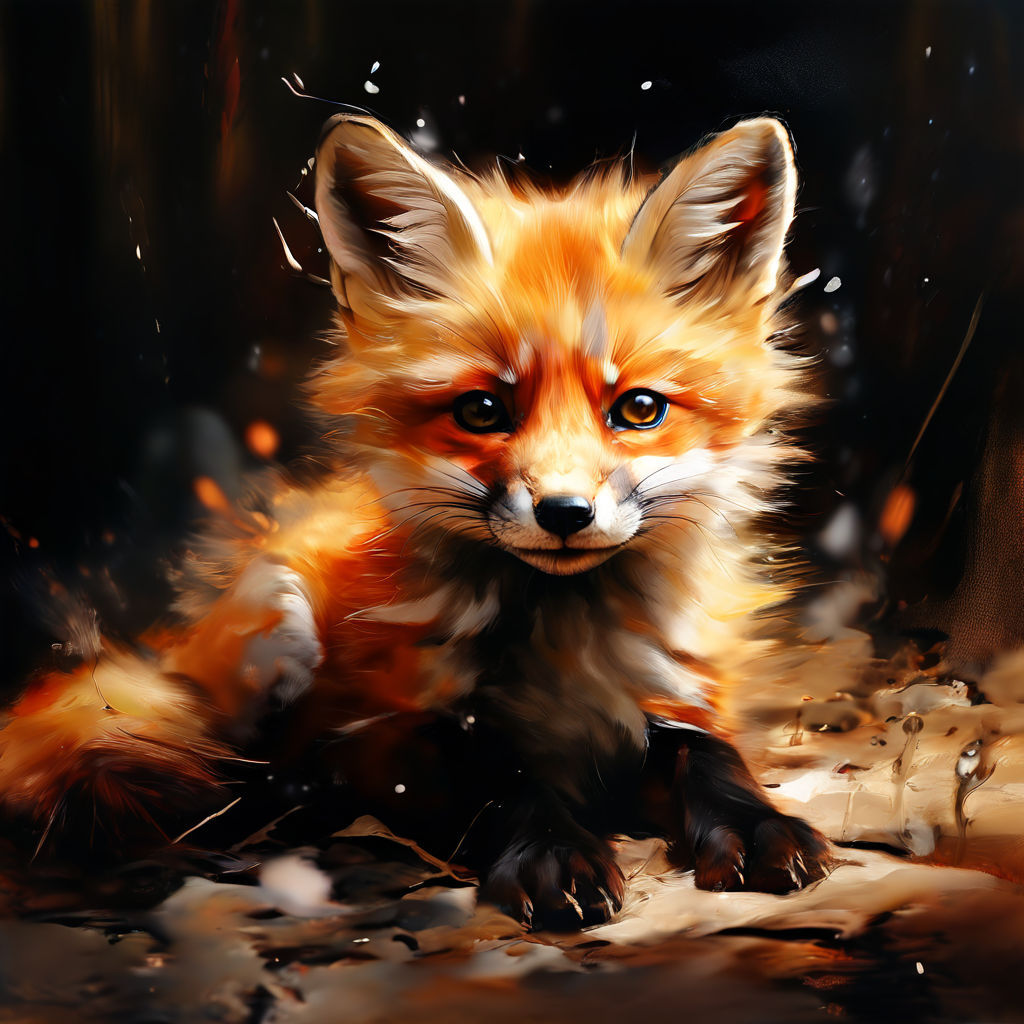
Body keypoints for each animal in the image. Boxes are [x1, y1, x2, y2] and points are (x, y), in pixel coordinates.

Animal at [0, 114, 831, 928]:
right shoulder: (389, 735)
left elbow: (713, 758)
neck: (564, 647)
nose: (564, 513)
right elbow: (503, 783)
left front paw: (760, 826)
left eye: (639, 409)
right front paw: (552, 852)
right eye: (482, 410)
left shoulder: (679, 695)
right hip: (278, 635)